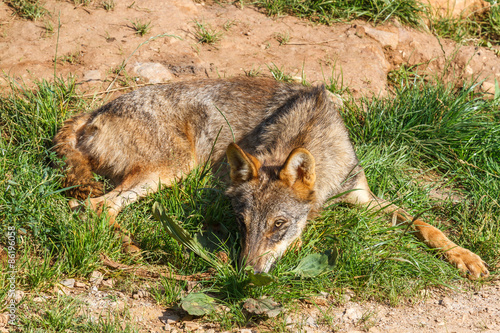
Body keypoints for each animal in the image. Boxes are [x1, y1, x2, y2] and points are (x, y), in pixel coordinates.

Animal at [53, 77, 488, 278]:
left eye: (278, 223)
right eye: (242, 223)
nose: (245, 274)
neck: (308, 132)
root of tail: (96, 110)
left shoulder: (362, 198)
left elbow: (425, 223)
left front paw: (465, 257)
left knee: (96, 206)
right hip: (175, 169)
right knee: (95, 207)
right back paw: (129, 249)